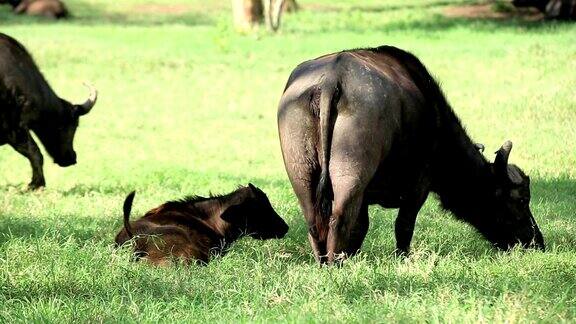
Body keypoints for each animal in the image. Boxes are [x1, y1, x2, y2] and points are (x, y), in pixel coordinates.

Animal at [278, 45, 544, 264]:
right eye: (522, 200)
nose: (536, 241)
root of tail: (332, 79)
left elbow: (361, 225)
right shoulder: (419, 185)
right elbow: (403, 224)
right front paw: (401, 258)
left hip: (302, 171)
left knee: (314, 219)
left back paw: (324, 261)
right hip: (351, 170)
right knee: (340, 218)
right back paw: (336, 263)